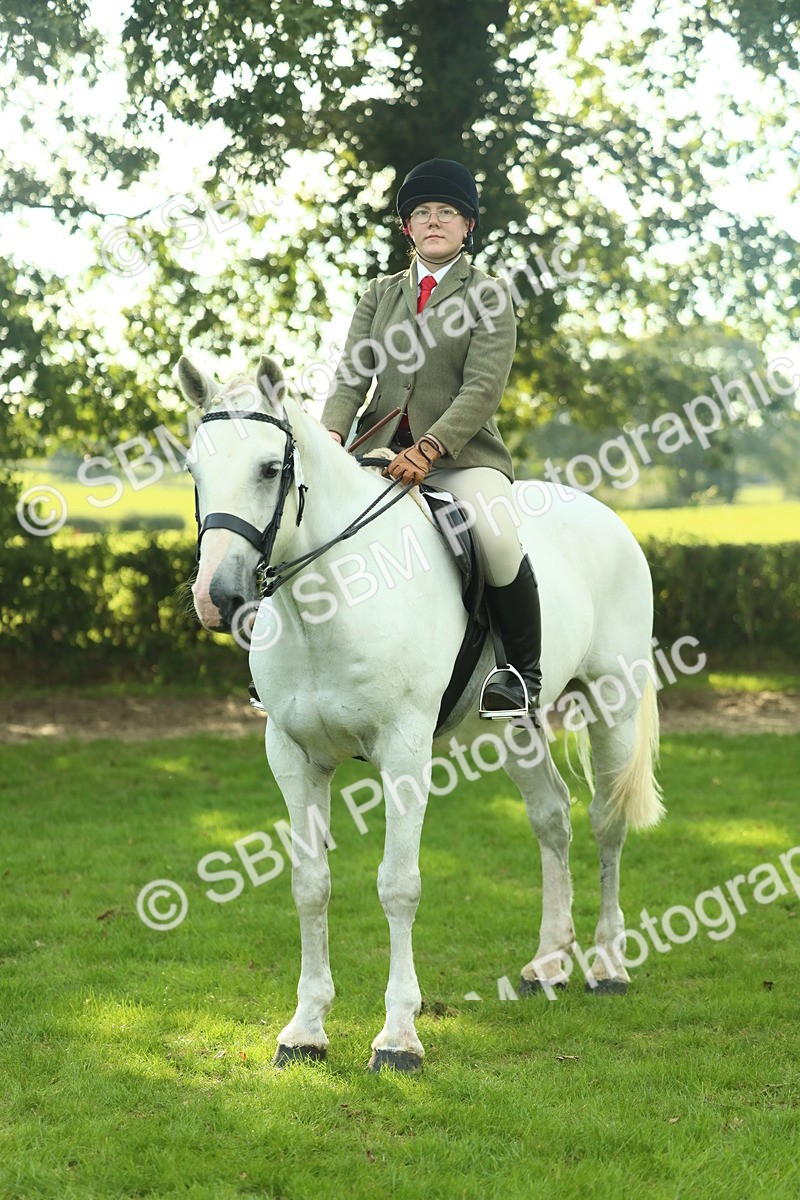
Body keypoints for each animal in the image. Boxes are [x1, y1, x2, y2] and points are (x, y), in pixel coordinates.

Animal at [178, 352, 665, 1073]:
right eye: (194, 470)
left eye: (269, 468)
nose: (220, 598)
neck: (330, 601)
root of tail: (606, 516)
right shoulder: (293, 758)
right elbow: (310, 885)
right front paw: (305, 1029)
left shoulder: (404, 752)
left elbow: (397, 885)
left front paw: (398, 1037)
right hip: (516, 726)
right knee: (552, 818)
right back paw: (547, 963)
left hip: (614, 705)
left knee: (607, 822)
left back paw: (607, 966)